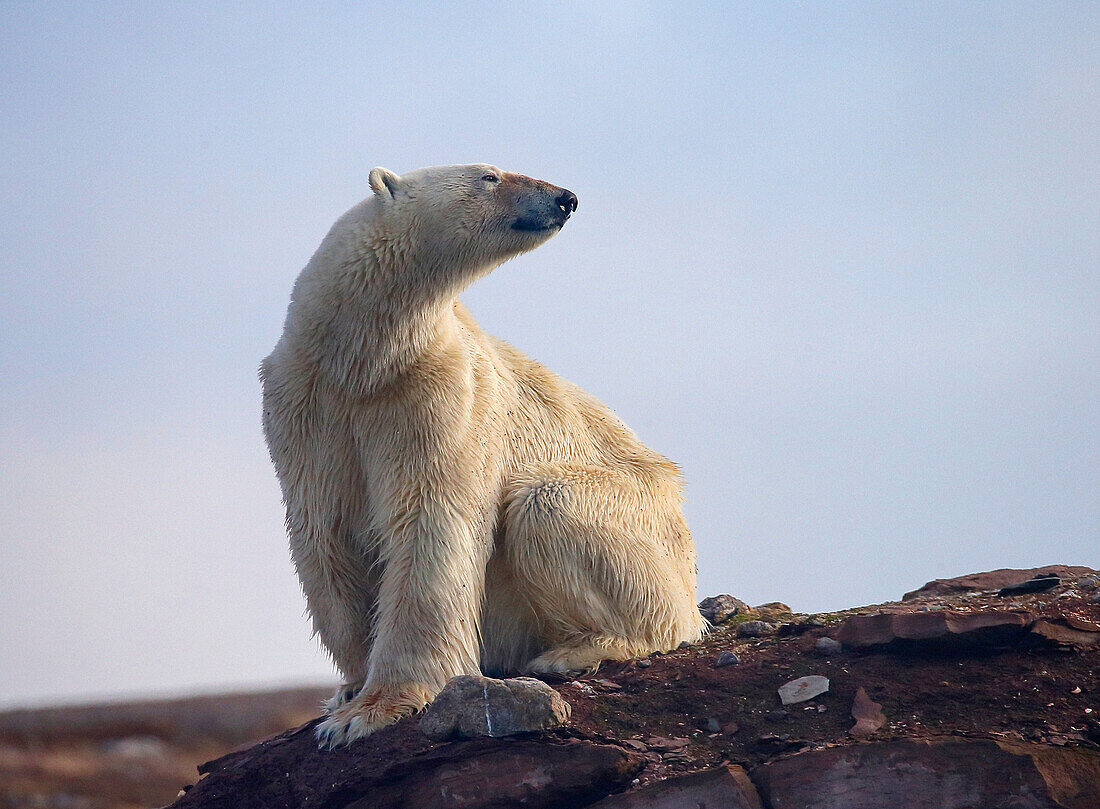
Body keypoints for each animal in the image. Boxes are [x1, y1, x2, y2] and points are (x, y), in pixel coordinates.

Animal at [260, 165, 704, 748]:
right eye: (489, 175)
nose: (565, 198)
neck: (364, 361)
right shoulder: (306, 408)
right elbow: (324, 532)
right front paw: (348, 691)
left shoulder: (442, 394)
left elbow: (432, 522)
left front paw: (375, 708)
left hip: (645, 515)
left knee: (552, 501)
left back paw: (576, 649)